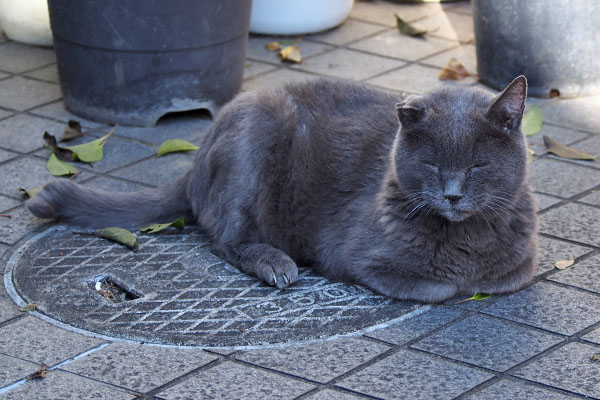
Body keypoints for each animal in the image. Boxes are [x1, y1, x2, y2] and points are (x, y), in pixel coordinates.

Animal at [25, 76, 536, 304]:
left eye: (477, 166)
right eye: (432, 165)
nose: (451, 194)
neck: (467, 237)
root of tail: (196, 159)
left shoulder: (523, 264)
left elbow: (507, 276)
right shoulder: (357, 257)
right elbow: (438, 286)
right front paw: (455, 280)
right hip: (255, 134)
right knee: (225, 238)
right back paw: (277, 263)